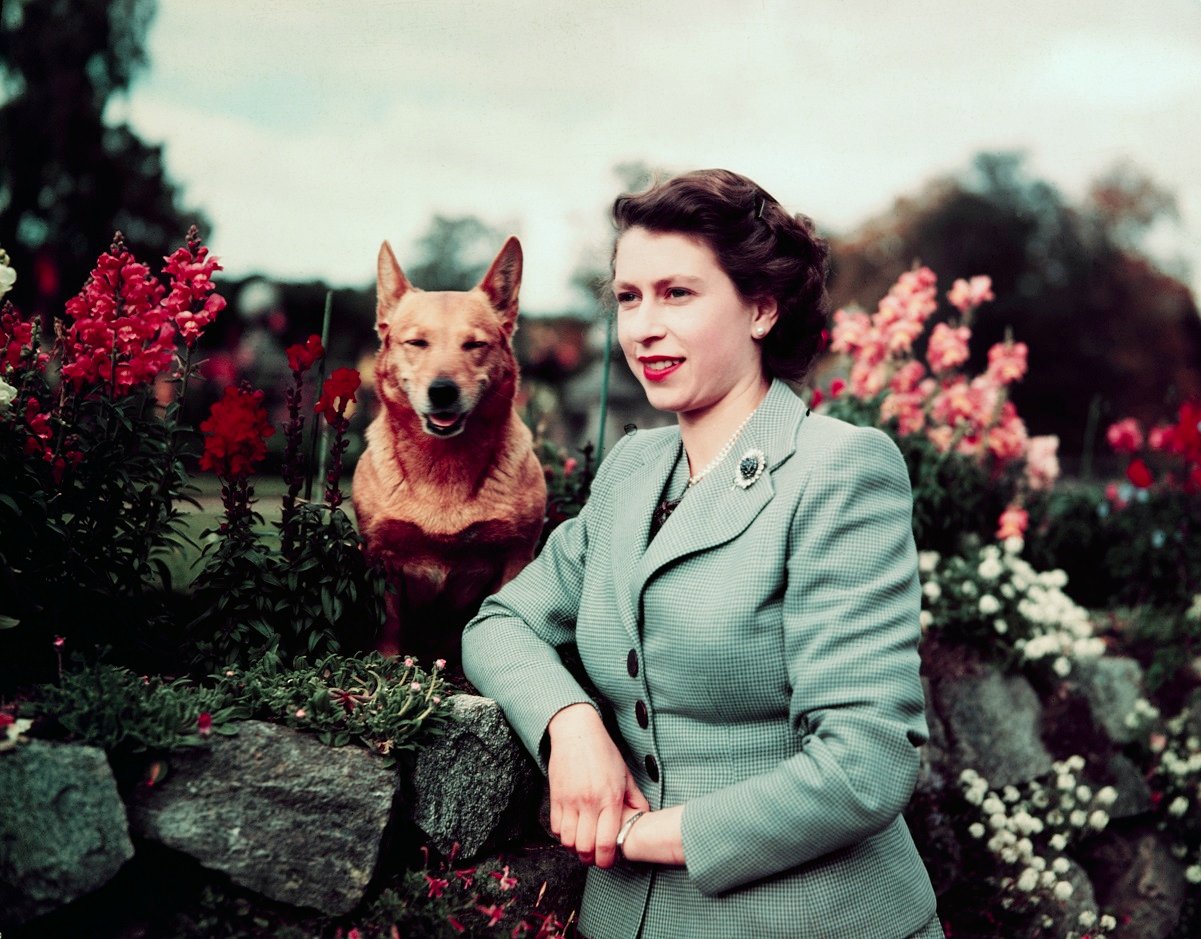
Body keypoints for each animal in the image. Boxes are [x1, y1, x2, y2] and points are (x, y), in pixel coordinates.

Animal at [353, 237, 547, 662]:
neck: (444, 465)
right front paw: (387, 666)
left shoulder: (516, 557)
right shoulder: (381, 556)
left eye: (474, 345)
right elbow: (388, 627)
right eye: (416, 343)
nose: (442, 391)